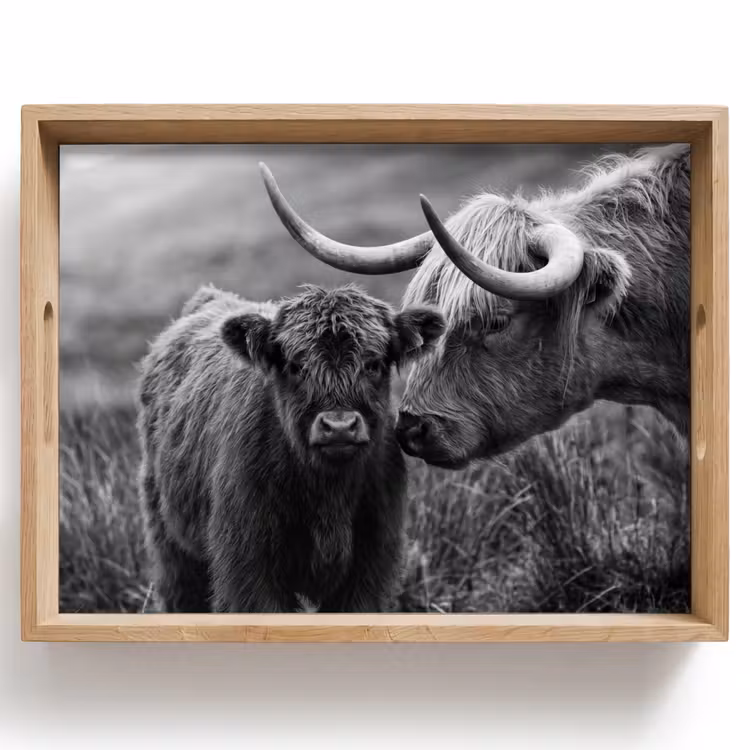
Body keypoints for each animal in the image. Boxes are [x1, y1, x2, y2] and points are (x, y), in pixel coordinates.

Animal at [137, 283, 444, 612]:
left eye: (373, 364)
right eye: (297, 366)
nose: (339, 426)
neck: (329, 493)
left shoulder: (370, 565)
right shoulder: (249, 565)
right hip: (170, 541)